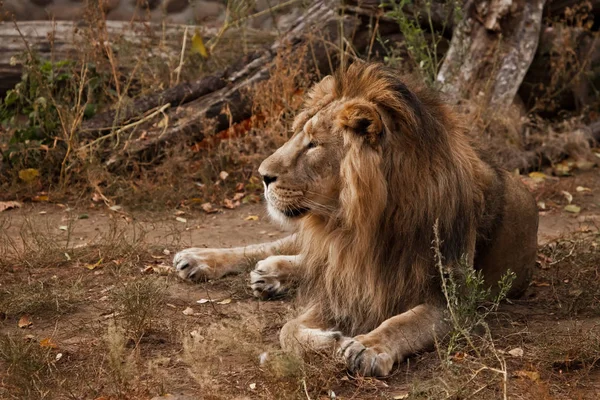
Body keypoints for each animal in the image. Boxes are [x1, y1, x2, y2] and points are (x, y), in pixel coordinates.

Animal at [170, 63, 540, 378]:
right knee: (279, 246)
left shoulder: (454, 300)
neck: (360, 227)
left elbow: (405, 322)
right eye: (297, 136)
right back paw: (202, 260)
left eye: (313, 144)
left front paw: (367, 347)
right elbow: (288, 329)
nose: (262, 175)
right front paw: (331, 339)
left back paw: (271, 274)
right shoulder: (343, 285)